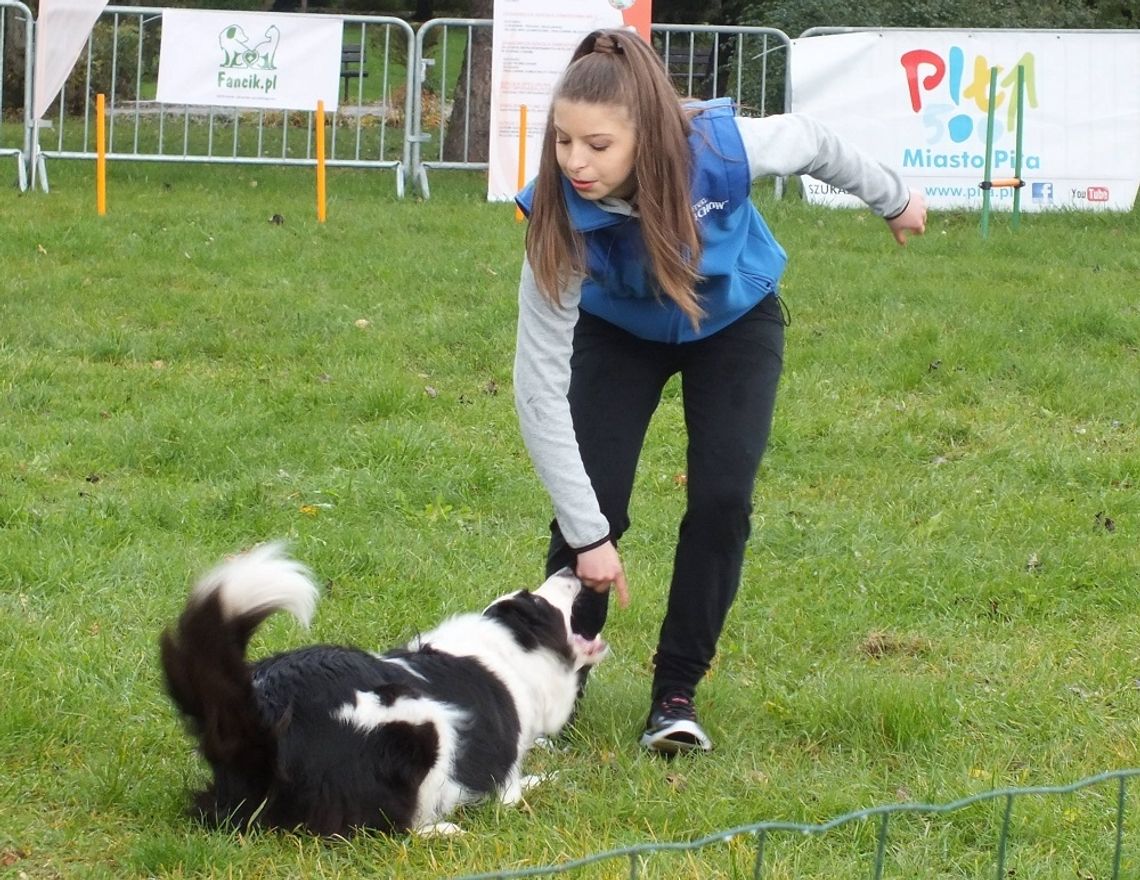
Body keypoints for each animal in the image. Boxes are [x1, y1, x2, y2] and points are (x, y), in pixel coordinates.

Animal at [161, 542, 611, 838]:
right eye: (540, 600)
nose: (571, 570)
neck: (512, 649)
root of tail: (259, 709)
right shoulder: (498, 776)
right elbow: (517, 788)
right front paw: (546, 779)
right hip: (422, 726)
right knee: (390, 828)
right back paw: (441, 830)